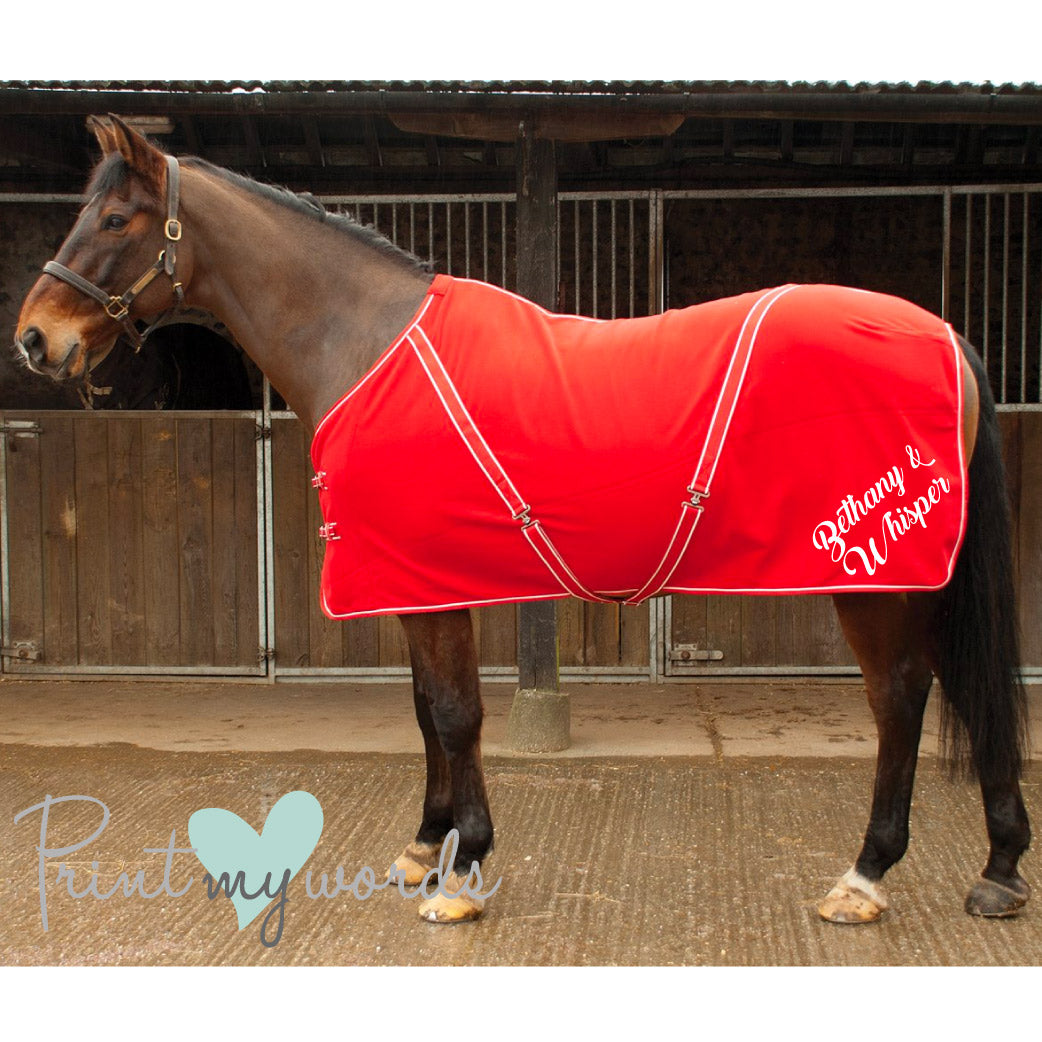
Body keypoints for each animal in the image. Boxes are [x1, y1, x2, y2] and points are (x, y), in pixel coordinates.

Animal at [13, 114, 1031, 926]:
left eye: (114, 220)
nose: (34, 338)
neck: (369, 343)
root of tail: (944, 335)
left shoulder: (430, 582)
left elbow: (457, 713)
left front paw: (463, 872)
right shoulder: (414, 582)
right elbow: (425, 711)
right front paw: (423, 849)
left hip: (875, 573)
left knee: (901, 698)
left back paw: (866, 877)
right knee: (952, 687)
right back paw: (1000, 869)